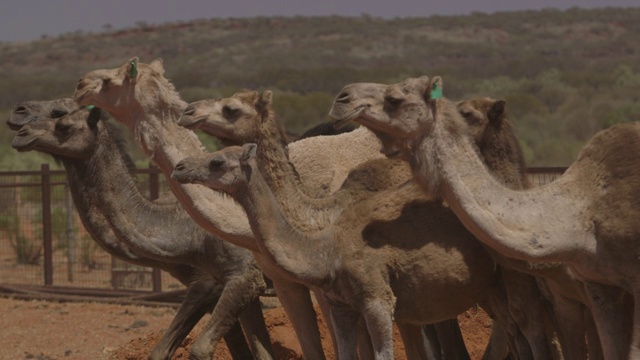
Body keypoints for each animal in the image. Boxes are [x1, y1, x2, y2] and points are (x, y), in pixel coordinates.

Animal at [9, 105, 276, 360]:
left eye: (62, 122)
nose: (21, 133)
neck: (186, 230)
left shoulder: (231, 278)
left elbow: (199, 348)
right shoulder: (228, 282)